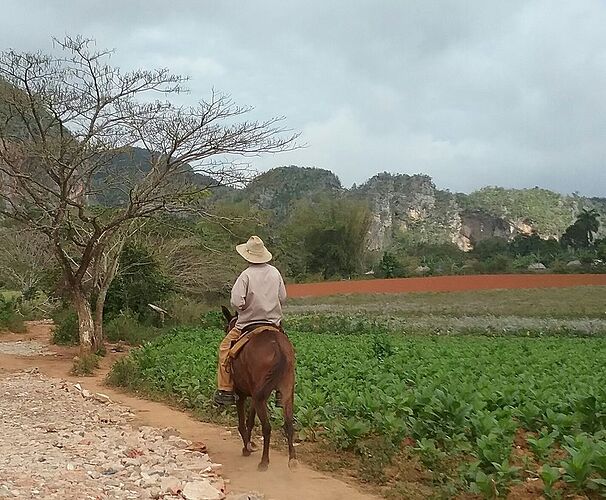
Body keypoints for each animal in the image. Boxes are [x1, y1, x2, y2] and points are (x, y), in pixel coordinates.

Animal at [222, 304, 300, 472]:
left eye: (226, 327)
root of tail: (277, 346)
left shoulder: (241, 393)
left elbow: (242, 423)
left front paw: (247, 448)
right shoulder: (255, 393)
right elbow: (250, 420)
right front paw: (248, 446)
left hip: (259, 395)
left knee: (267, 427)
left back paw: (264, 462)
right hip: (285, 391)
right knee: (289, 424)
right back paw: (292, 459)